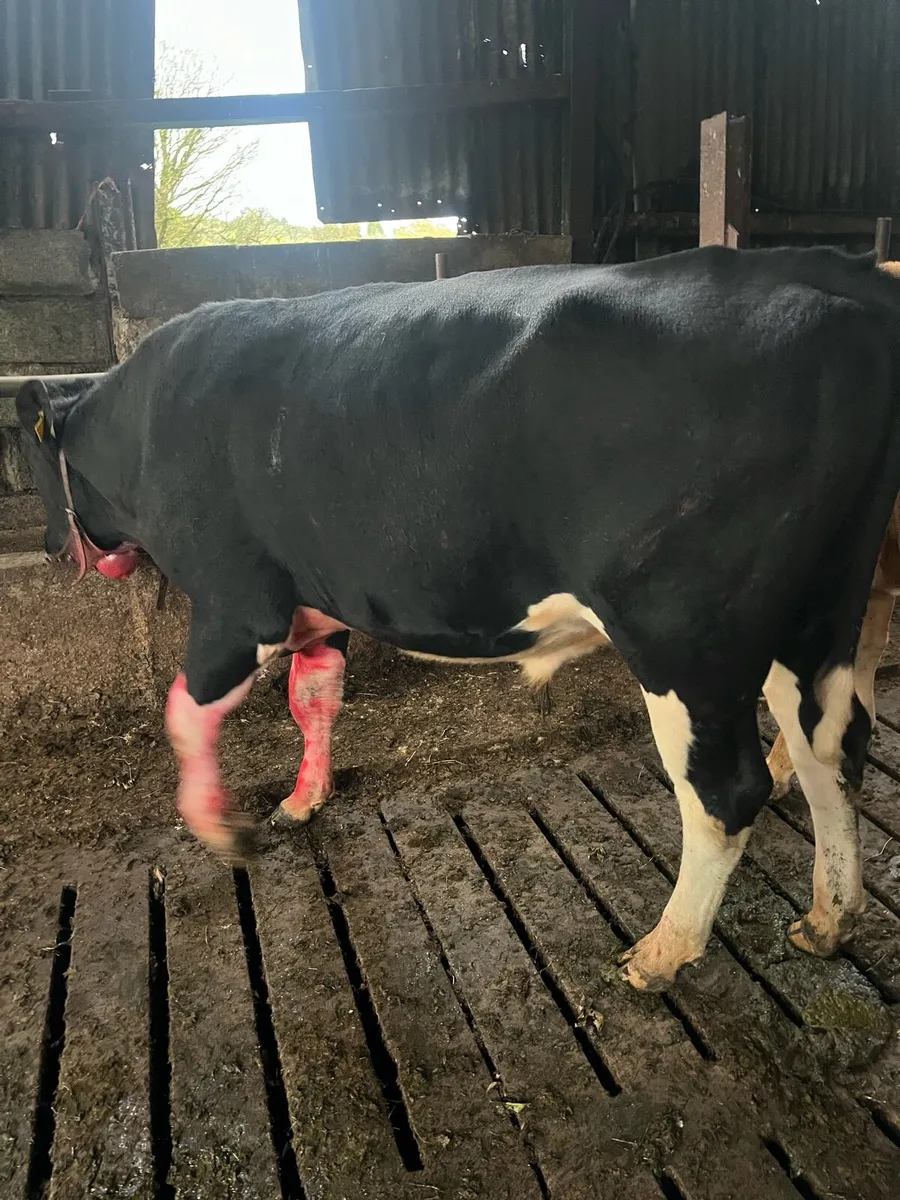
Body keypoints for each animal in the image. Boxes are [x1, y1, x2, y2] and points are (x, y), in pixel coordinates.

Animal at [17, 244, 900, 993]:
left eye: (32, 466)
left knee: (727, 790)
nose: (56, 550)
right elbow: (315, 697)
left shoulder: (239, 602)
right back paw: (829, 919)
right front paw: (304, 798)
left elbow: (186, 711)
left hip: (686, 633)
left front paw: (218, 828)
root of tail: (816, 270)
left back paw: (661, 952)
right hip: (820, 613)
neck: (143, 418)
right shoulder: (319, 600)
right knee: (832, 747)